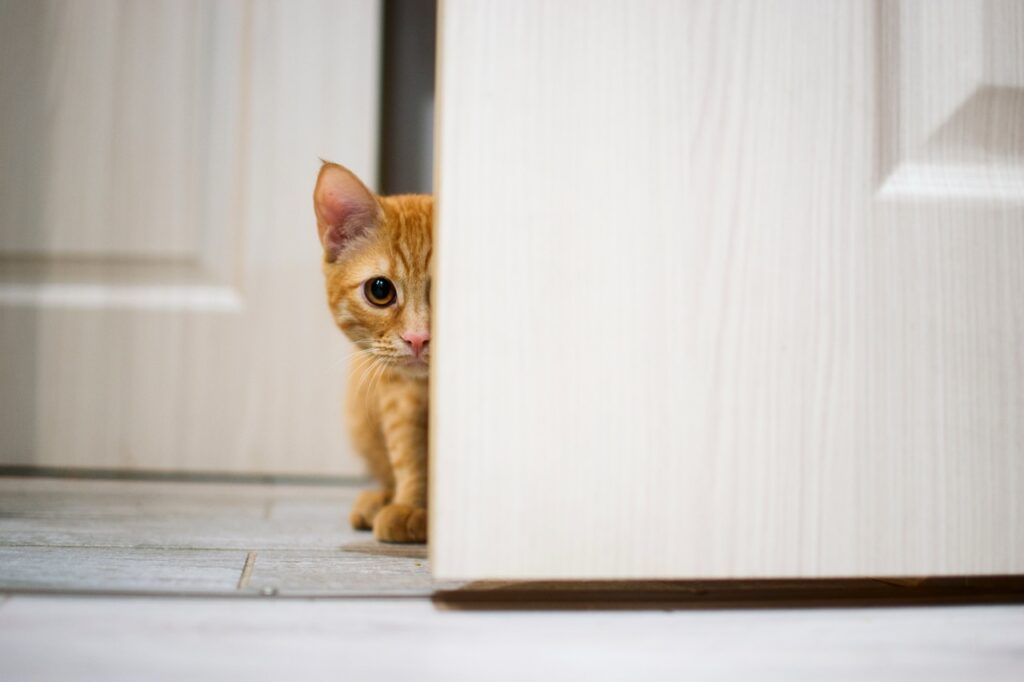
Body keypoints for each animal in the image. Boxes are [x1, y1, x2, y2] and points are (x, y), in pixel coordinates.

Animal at [311, 160, 432, 540]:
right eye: (380, 290)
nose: (418, 338)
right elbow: (409, 449)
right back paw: (379, 499)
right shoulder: (397, 389)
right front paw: (413, 505)